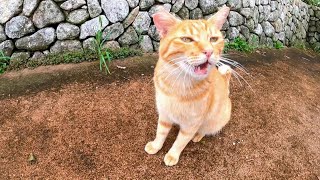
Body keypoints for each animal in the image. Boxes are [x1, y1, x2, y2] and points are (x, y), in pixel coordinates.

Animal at [146, 6, 232, 166]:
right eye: (187, 39)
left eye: (213, 39)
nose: (209, 51)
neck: (179, 85)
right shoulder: (164, 114)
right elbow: (160, 132)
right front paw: (155, 146)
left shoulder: (191, 124)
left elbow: (180, 142)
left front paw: (172, 155)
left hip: (213, 121)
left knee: (205, 130)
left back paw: (198, 136)